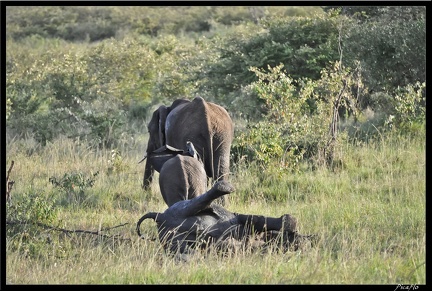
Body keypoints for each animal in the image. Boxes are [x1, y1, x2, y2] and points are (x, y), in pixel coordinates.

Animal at [136, 181, 310, 256]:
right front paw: (290, 222)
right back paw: (223, 188)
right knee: (201, 201)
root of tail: (160, 216)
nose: (303, 242)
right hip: (182, 208)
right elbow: (257, 220)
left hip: (174, 240)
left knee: (188, 249)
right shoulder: (240, 220)